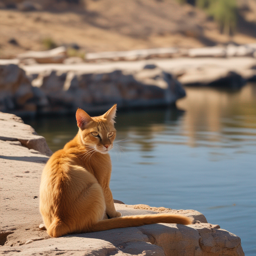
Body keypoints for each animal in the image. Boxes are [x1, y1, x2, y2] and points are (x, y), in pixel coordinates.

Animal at [40, 105, 192, 237]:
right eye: (95, 134)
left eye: (110, 133)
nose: (107, 145)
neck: (82, 146)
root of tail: (59, 224)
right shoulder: (104, 184)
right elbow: (110, 201)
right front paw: (115, 215)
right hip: (96, 187)